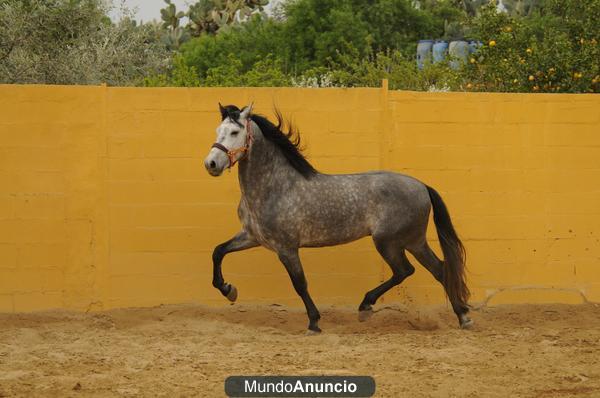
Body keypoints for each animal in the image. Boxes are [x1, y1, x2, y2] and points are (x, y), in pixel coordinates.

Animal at [204, 103, 472, 332]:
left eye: (235, 131)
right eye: (218, 130)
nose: (211, 164)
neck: (275, 186)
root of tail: (422, 186)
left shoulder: (286, 247)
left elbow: (300, 283)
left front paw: (314, 322)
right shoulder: (252, 237)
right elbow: (218, 251)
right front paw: (228, 290)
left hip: (389, 242)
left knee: (405, 271)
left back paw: (366, 306)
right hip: (414, 241)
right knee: (439, 269)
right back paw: (463, 317)